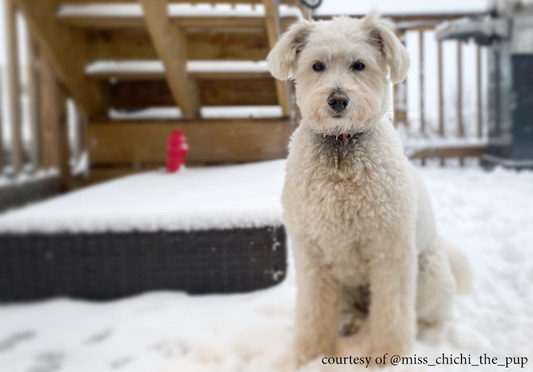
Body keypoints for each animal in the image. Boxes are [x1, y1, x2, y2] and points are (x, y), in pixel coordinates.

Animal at [266, 12, 470, 366]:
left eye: (359, 65)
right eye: (317, 66)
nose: (337, 100)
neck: (342, 147)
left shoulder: (390, 249)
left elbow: (393, 312)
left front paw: (388, 356)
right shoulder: (311, 252)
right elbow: (314, 310)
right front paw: (310, 354)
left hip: (427, 275)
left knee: (426, 314)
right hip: (346, 286)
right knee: (355, 311)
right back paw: (349, 323)